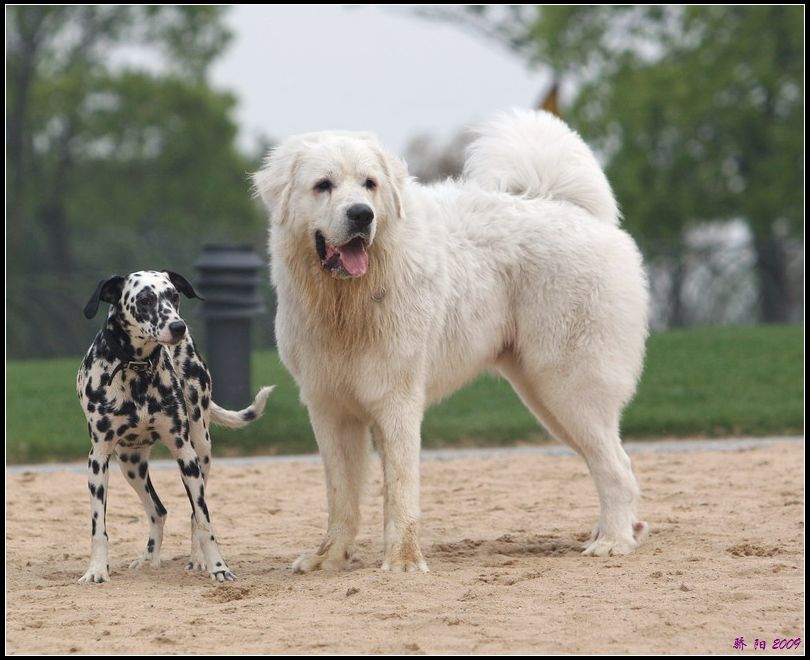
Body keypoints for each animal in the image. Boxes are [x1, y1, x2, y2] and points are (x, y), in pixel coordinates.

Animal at [79, 270, 274, 584]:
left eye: (173, 295)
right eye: (145, 299)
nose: (178, 327)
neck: (136, 371)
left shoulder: (185, 454)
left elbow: (204, 521)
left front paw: (218, 567)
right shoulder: (97, 459)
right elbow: (99, 527)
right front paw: (97, 569)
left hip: (201, 451)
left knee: (194, 514)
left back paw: (198, 560)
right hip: (131, 465)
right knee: (157, 511)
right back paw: (148, 559)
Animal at [256, 109, 648, 572]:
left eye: (370, 184)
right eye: (323, 185)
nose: (362, 215)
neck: (347, 301)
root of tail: (569, 207)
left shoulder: (397, 401)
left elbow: (400, 489)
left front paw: (403, 562)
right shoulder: (330, 408)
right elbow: (341, 496)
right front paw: (328, 559)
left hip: (570, 386)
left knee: (616, 467)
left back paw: (614, 542)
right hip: (547, 399)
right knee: (609, 462)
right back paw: (613, 532)